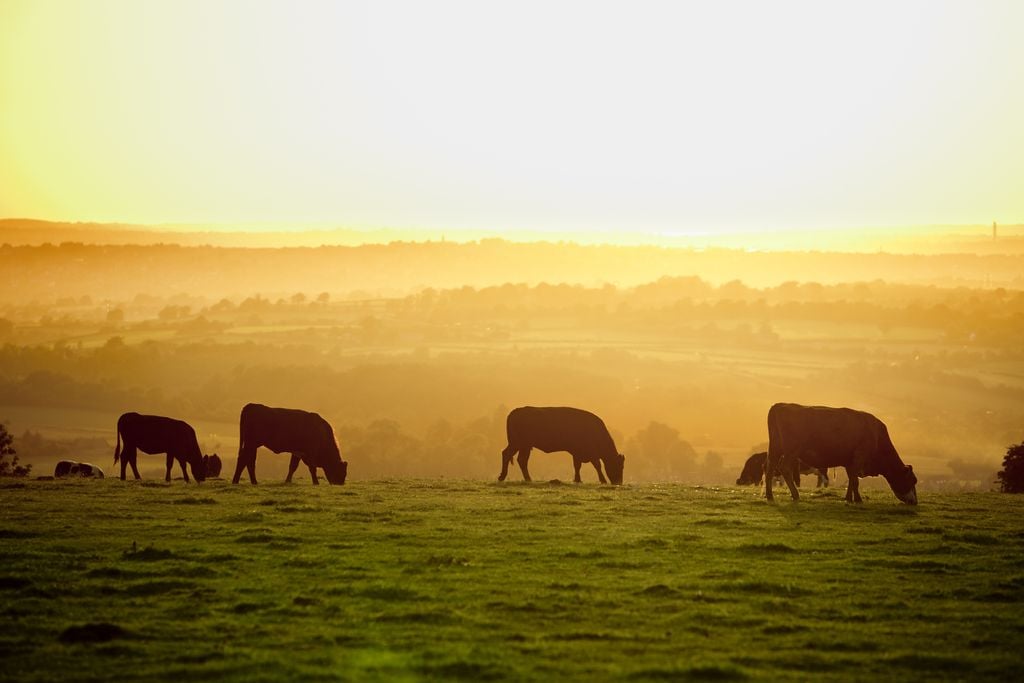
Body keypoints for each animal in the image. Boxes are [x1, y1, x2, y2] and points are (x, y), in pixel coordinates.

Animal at [765, 403, 917, 505]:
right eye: (912, 480)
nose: (915, 502)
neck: (877, 436)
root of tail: (781, 405)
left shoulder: (850, 461)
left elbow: (851, 479)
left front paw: (849, 498)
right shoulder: (859, 456)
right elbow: (855, 480)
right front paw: (858, 500)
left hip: (775, 449)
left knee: (770, 469)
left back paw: (770, 496)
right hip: (791, 450)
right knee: (784, 468)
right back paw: (795, 495)